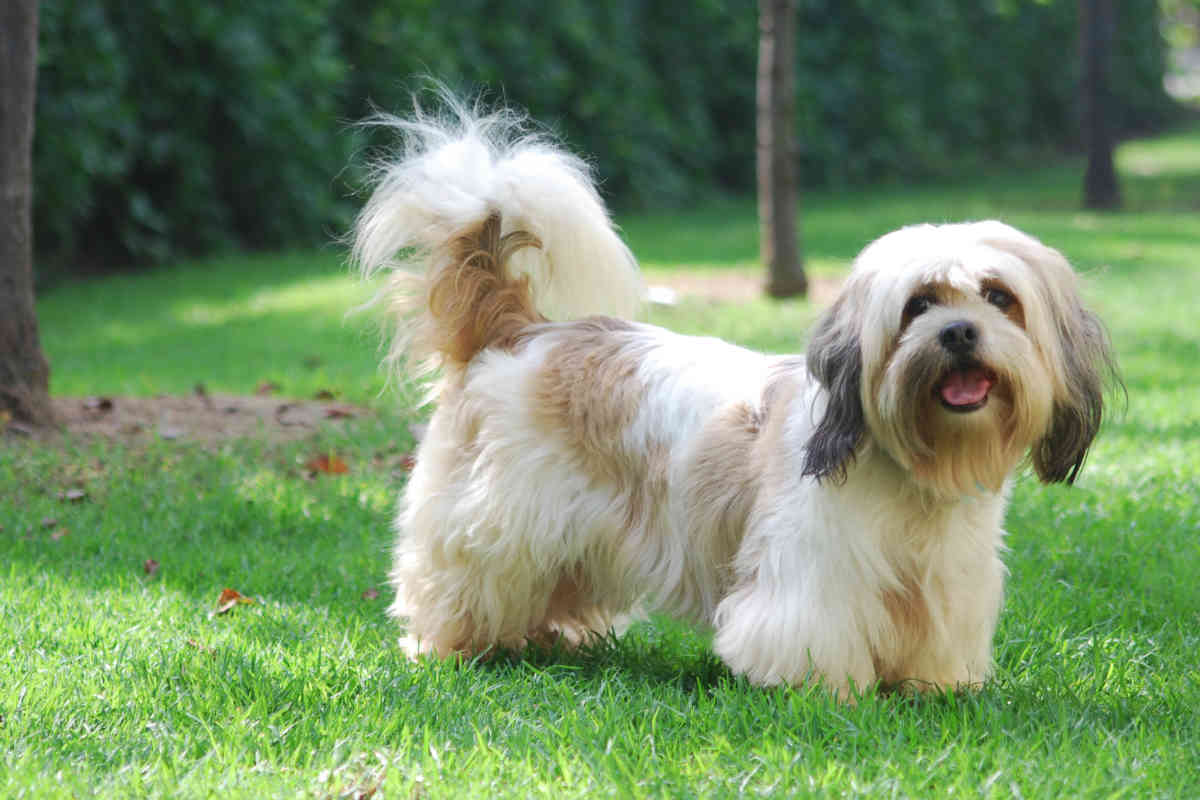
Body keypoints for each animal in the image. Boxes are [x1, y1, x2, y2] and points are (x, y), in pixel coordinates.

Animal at [350, 98, 1113, 700]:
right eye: (918, 304)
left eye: (1000, 298)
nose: (957, 332)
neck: (910, 467)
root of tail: (520, 329)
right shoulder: (813, 572)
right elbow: (809, 630)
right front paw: (824, 692)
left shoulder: (946, 584)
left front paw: (933, 687)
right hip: (497, 522)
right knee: (457, 579)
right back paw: (453, 647)